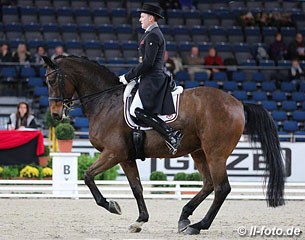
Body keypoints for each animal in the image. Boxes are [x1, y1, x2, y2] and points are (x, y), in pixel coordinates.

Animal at [41, 55, 284, 234]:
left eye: (52, 81)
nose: (55, 115)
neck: (106, 101)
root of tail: (238, 103)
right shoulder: (126, 157)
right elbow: (137, 188)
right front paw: (139, 221)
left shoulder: (113, 153)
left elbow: (88, 176)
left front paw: (112, 206)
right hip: (199, 152)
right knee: (208, 184)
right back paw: (185, 217)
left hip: (216, 153)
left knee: (222, 188)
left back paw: (198, 226)